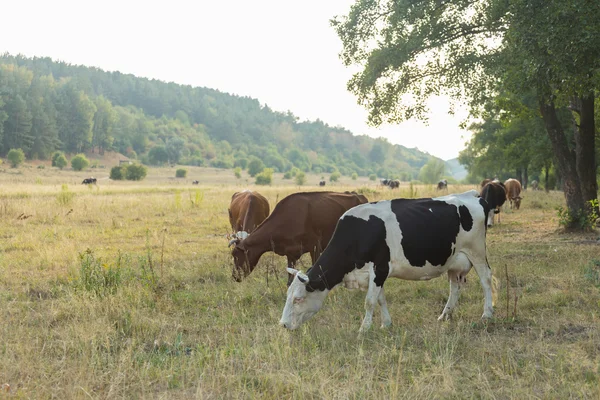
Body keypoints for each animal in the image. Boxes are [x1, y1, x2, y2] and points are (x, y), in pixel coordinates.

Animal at [230, 191, 368, 282]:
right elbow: (290, 279)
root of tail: (358, 195)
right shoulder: (291, 254)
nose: (235, 276)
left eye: (236, 255)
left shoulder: (315, 247)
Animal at [278, 190, 494, 332]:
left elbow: (369, 302)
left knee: (486, 280)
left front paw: (364, 329)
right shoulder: (374, 274)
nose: (283, 324)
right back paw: (445, 315)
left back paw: (487, 314)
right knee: (455, 287)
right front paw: (386, 324)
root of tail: (472, 194)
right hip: (455, 261)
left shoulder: (379, 268)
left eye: (298, 298)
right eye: (288, 296)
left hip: (476, 251)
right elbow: (380, 299)